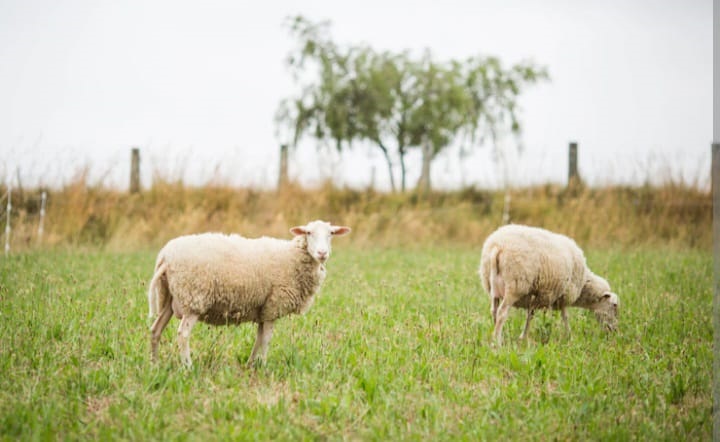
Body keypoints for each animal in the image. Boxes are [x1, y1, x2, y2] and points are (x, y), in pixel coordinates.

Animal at [148, 219, 350, 368]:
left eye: (331, 233)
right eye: (308, 233)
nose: (322, 253)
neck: (293, 257)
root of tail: (165, 256)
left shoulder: (264, 308)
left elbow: (258, 339)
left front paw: (251, 364)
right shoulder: (274, 306)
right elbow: (266, 340)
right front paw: (264, 365)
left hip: (169, 298)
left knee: (155, 329)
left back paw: (155, 364)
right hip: (193, 299)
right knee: (182, 334)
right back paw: (187, 367)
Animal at [478, 224, 620, 346]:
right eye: (614, 305)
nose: (614, 330)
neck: (584, 284)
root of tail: (497, 246)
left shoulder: (536, 296)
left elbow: (530, 316)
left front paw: (523, 337)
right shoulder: (564, 295)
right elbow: (565, 317)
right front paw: (570, 336)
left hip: (493, 287)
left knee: (494, 311)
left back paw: (496, 335)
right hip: (515, 286)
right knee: (502, 313)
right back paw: (497, 342)